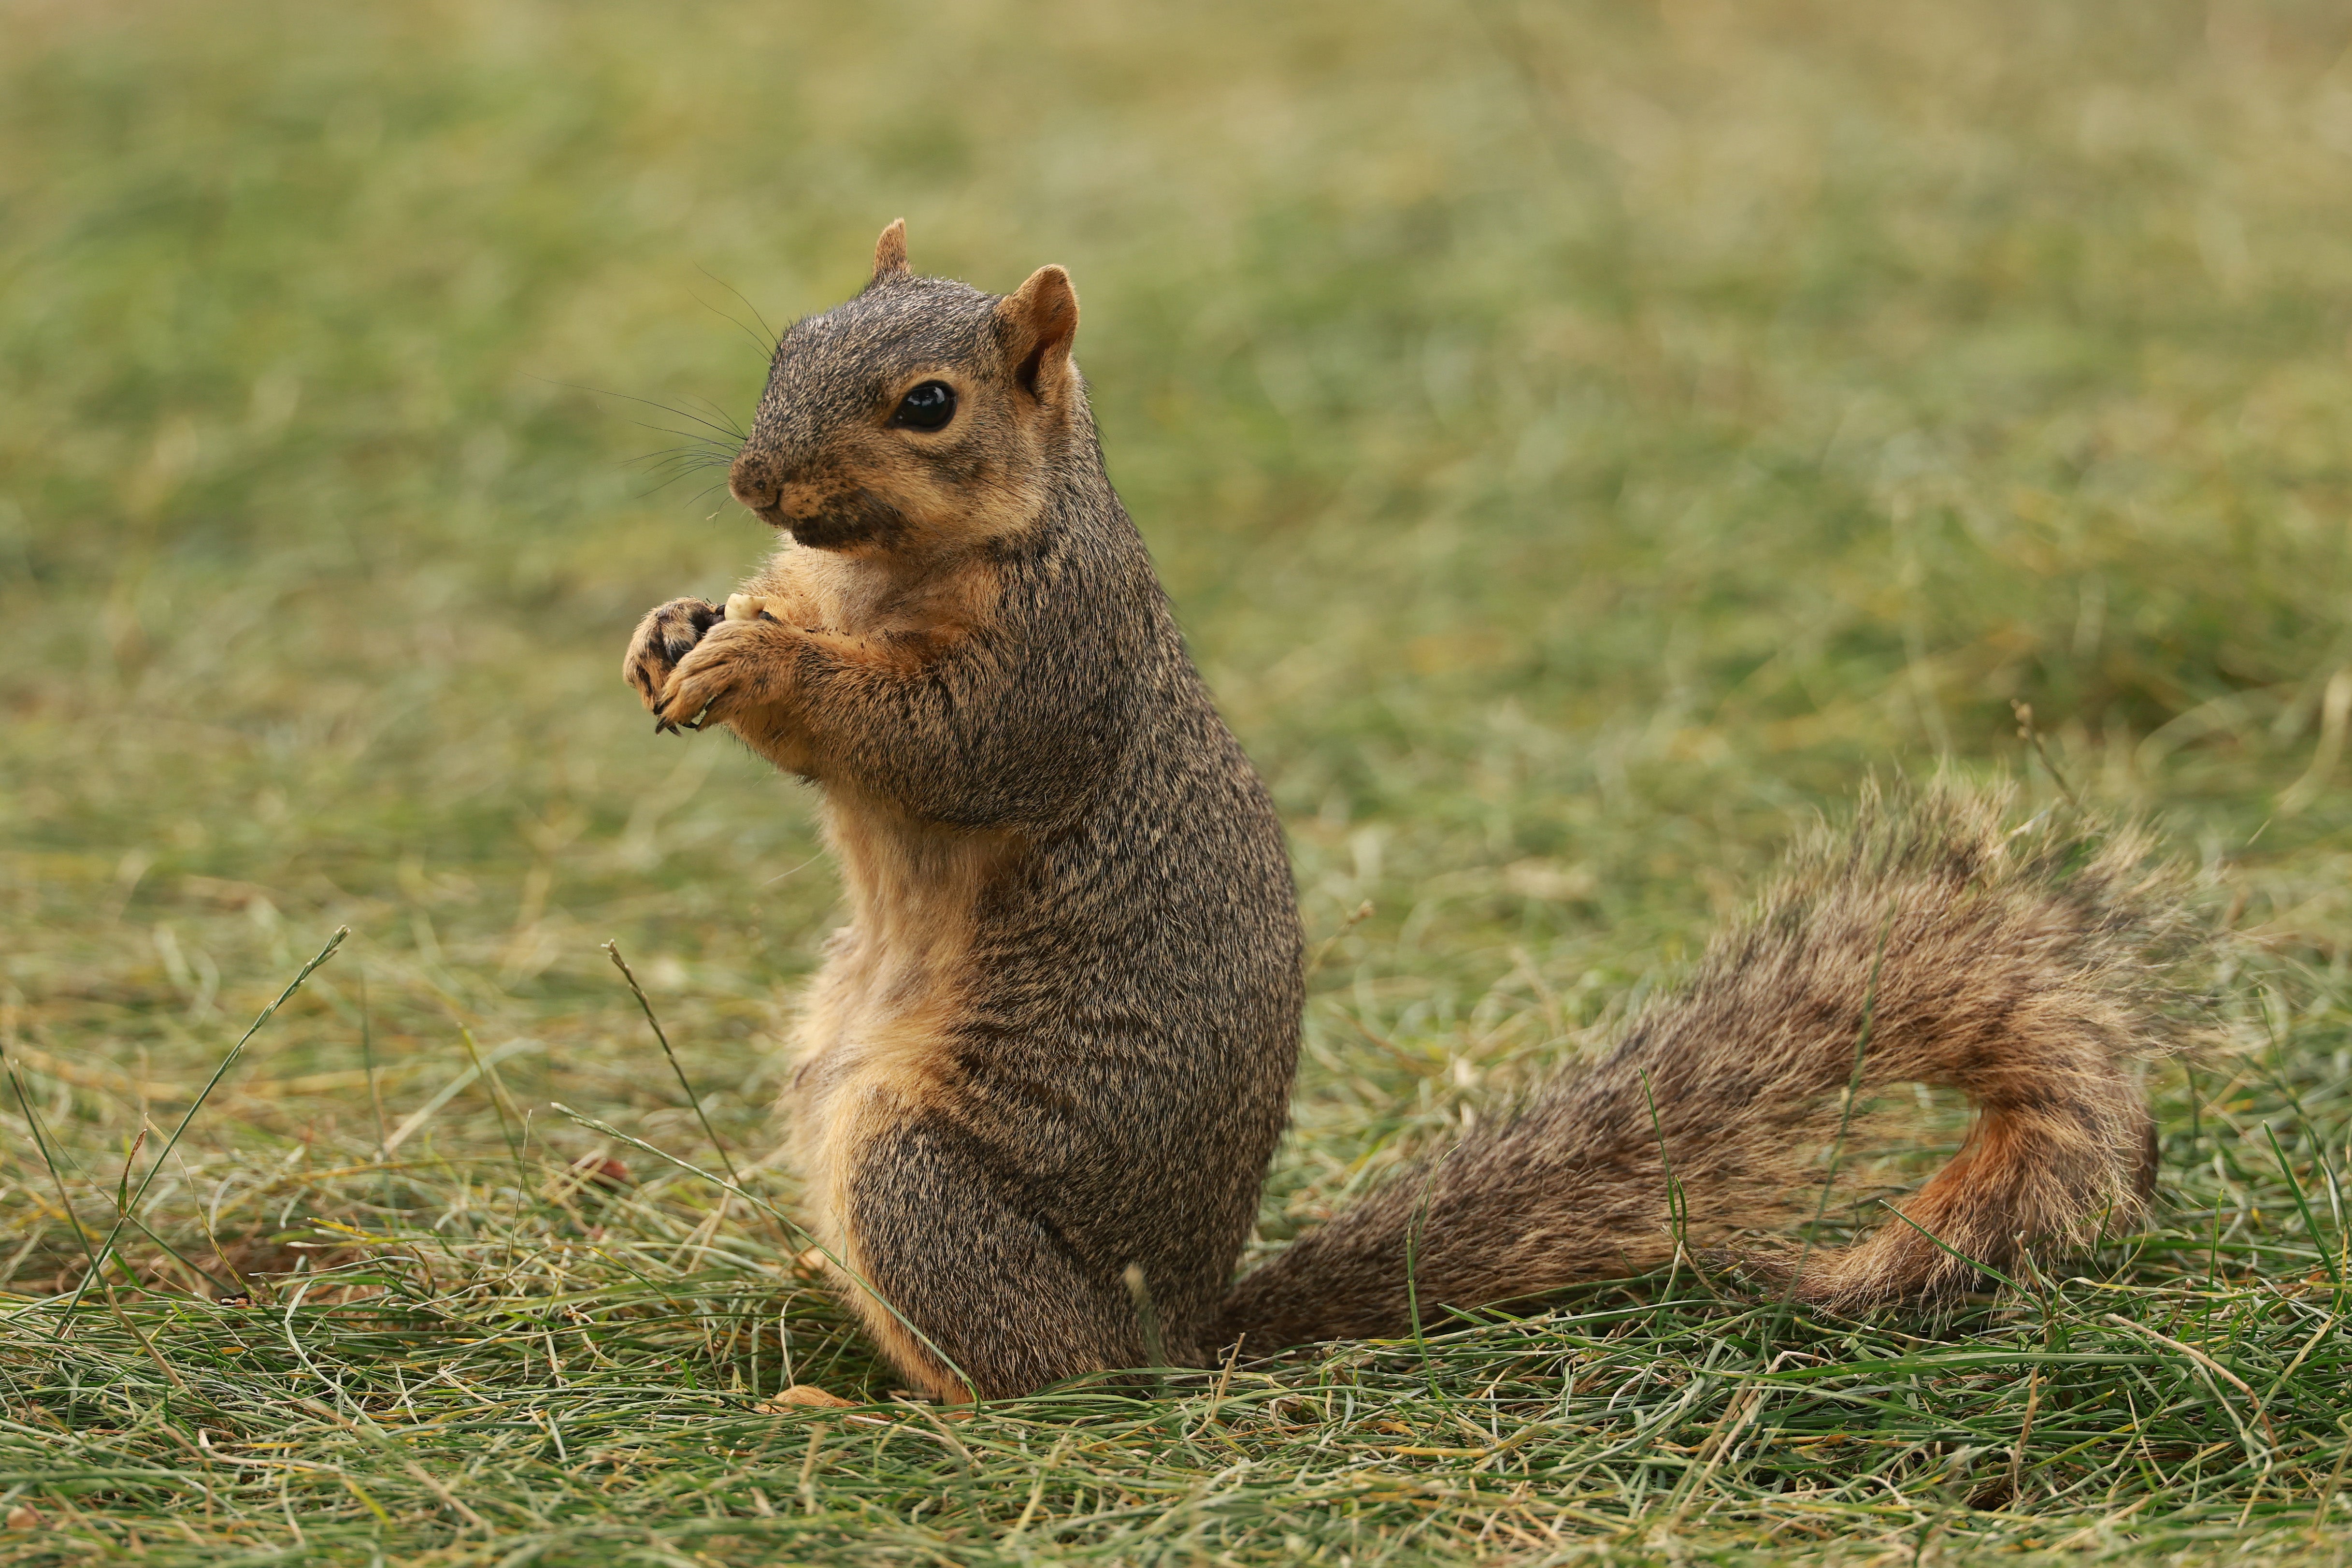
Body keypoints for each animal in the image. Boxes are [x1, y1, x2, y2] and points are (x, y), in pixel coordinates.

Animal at [622, 222, 2206, 1403]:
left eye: (928, 405)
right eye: (787, 340)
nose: (755, 479)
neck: (884, 571)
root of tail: (1177, 1339)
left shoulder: (1056, 667)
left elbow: (936, 742)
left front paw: (760, 661)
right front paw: (674, 627)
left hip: (924, 1187)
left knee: (1033, 1382)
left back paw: (889, 1409)